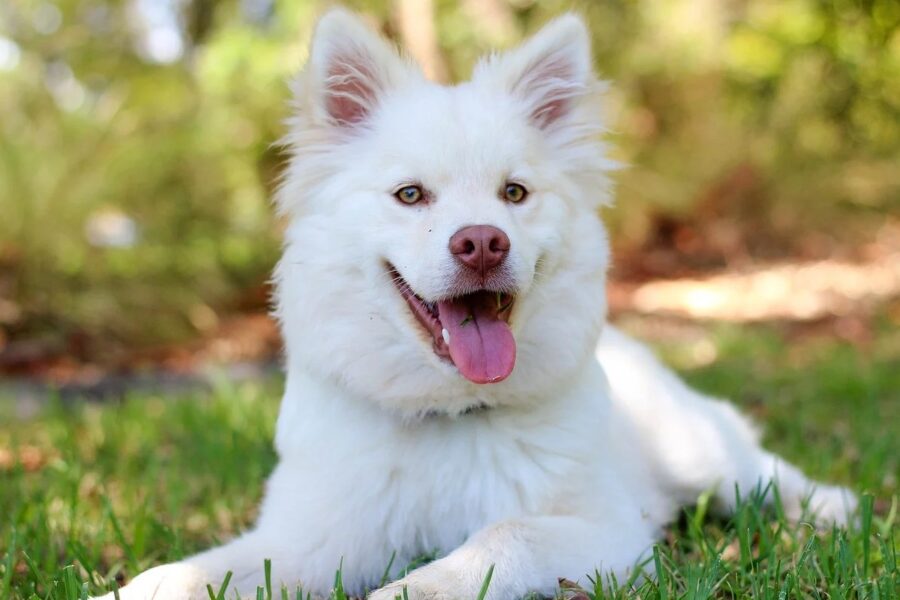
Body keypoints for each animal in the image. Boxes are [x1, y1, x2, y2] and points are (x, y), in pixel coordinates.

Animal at [102, 9, 856, 600]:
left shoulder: (608, 533)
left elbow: (500, 538)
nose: (483, 243)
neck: (447, 414)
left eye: (513, 193)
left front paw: (409, 589)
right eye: (410, 195)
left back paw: (834, 508)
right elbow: (196, 571)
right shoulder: (308, 539)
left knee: (763, 475)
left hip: (697, 452)